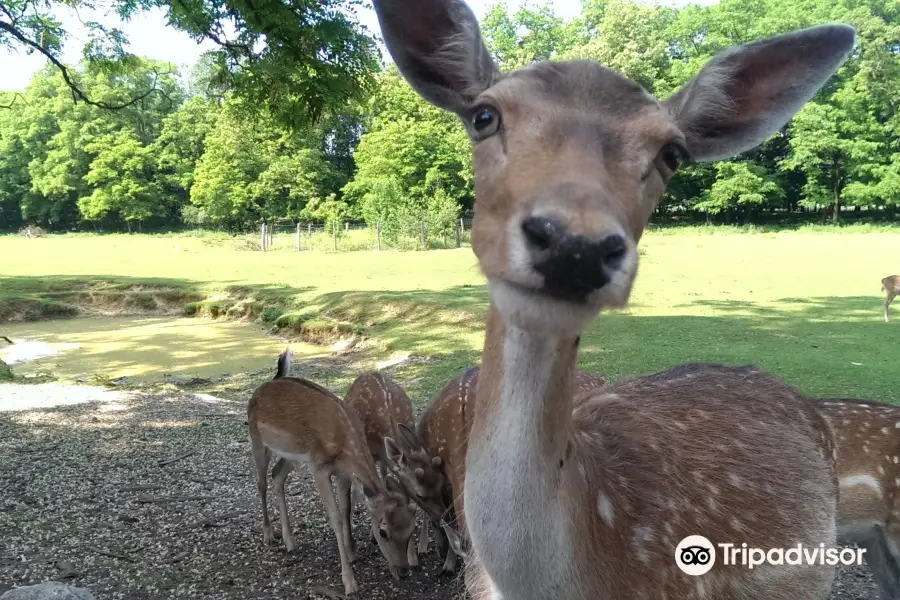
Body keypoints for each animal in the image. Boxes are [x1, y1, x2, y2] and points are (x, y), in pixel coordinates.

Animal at [246, 350, 414, 596]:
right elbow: (335, 516)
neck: (344, 442)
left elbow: (345, 508)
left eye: (411, 528)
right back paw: (269, 535)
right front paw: (349, 582)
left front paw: (352, 554)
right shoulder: (318, 466)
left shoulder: (342, 471)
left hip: (292, 455)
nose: (403, 571)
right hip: (256, 439)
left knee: (277, 475)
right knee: (260, 482)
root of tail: (266, 384)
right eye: (383, 532)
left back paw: (290, 541)